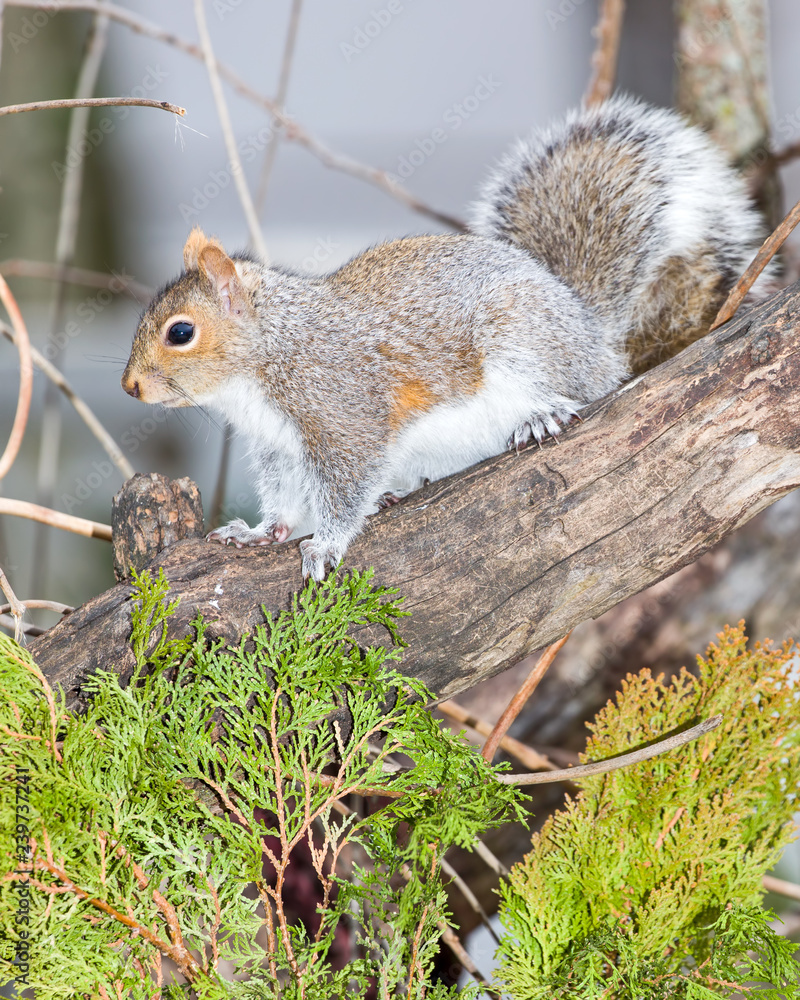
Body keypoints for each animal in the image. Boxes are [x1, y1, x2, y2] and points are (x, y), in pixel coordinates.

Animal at [122, 95, 771, 581]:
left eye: (181, 332)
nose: (129, 387)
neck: (266, 358)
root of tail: (592, 333)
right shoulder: (280, 447)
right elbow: (284, 496)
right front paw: (262, 533)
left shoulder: (343, 412)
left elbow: (346, 484)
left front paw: (326, 544)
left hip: (523, 341)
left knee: (578, 387)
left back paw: (541, 416)